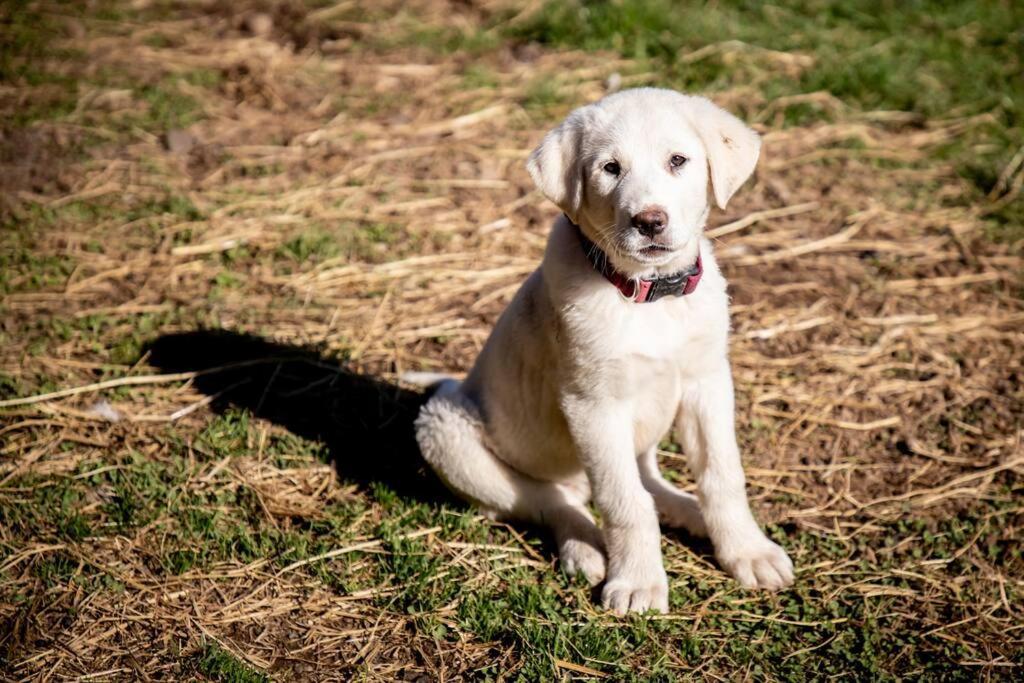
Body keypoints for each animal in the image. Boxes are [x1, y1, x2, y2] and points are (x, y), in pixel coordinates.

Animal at [413, 87, 790, 614]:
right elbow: (624, 502)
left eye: (678, 161)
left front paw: (748, 552)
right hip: (446, 433)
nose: (649, 221)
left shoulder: (707, 381)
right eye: (611, 168)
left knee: (646, 484)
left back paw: (689, 513)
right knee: (552, 500)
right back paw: (586, 548)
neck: (650, 294)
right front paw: (637, 583)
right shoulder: (593, 404)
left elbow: (722, 475)